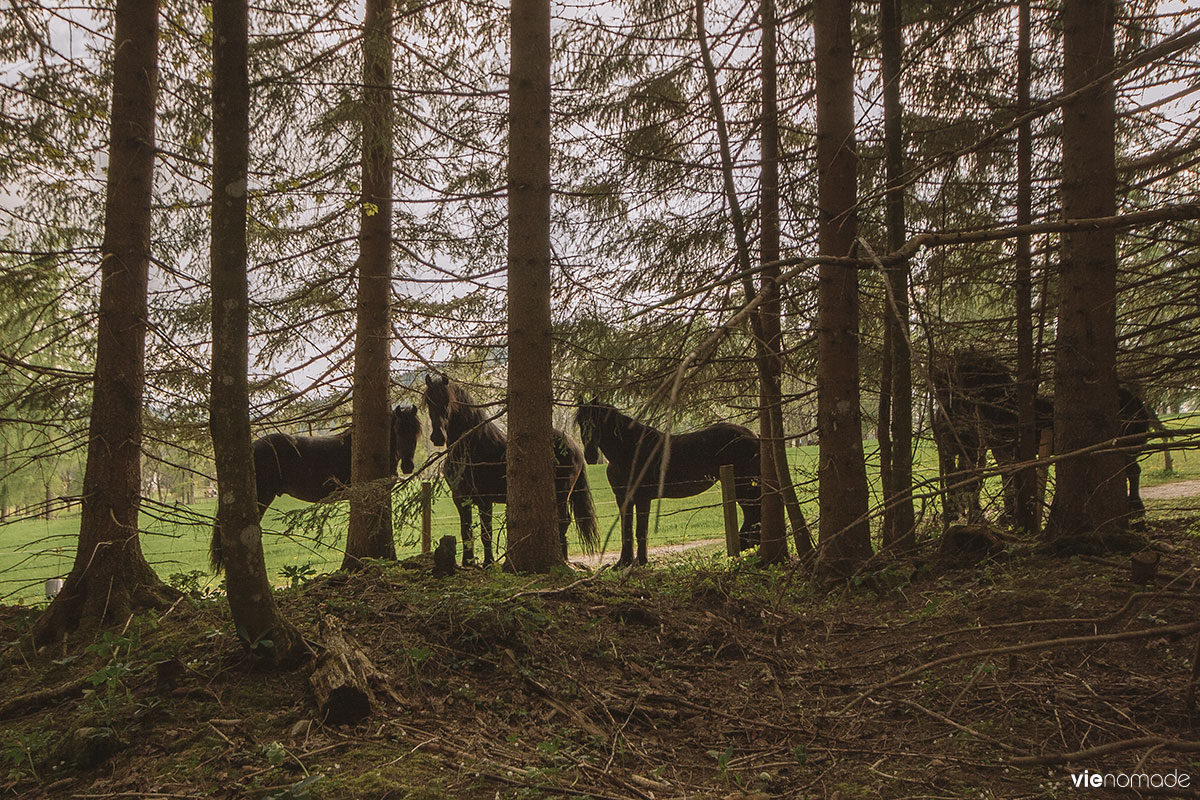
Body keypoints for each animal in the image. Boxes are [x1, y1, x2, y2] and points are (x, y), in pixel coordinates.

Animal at [422, 374, 600, 566]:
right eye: (429, 402)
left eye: (447, 401)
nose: (438, 437)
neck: (473, 448)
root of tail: (575, 447)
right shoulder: (461, 499)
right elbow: (466, 531)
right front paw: (468, 562)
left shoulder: (485, 500)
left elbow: (486, 533)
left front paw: (488, 563)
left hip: (562, 493)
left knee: (563, 521)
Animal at [573, 398, 758, 563]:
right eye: (581, 423)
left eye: (598, 421)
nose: (590, 455)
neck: (630, 451)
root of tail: (753, 435)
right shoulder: (623, 499)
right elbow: (626, 530)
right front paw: (623, 562)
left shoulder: (642, 498)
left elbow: (641, 531)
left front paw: (641, 561)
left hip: (744, 489)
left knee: (753, 517)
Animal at [931, 350, 1156, 525]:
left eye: (965, 366)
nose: (945, 396)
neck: (1005, 409)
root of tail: (1137, 400)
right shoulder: (1001, 452)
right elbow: (1007, 480)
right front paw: (1010, 515)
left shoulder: (1013, 451)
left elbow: (1012, 481)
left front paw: (1011, 516)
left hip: (1126, 445)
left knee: (1133, 471)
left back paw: (1136, 509)